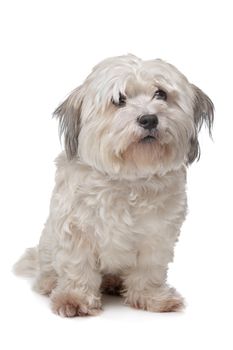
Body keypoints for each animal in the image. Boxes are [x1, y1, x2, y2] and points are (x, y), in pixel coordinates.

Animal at [14, 54, 214, 318]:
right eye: (119, 99)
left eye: (160, 94)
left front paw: (151, 297)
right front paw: (75, 299)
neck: (128, 179)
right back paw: (50, 283)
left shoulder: (158, 235)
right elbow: (77, 266)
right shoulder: (75, 231)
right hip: (47, 244)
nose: (149, 118)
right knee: (47, 269)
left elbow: (149, 270)